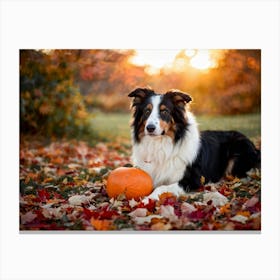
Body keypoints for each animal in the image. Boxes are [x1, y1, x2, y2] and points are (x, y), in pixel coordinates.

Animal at [129, 87, 260, 201]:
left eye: (164, 111)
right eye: (147, 111)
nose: (150, 128)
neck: (160, 145)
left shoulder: (192, 179)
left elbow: (162, 187)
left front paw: (148, 199)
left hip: (238, 149)